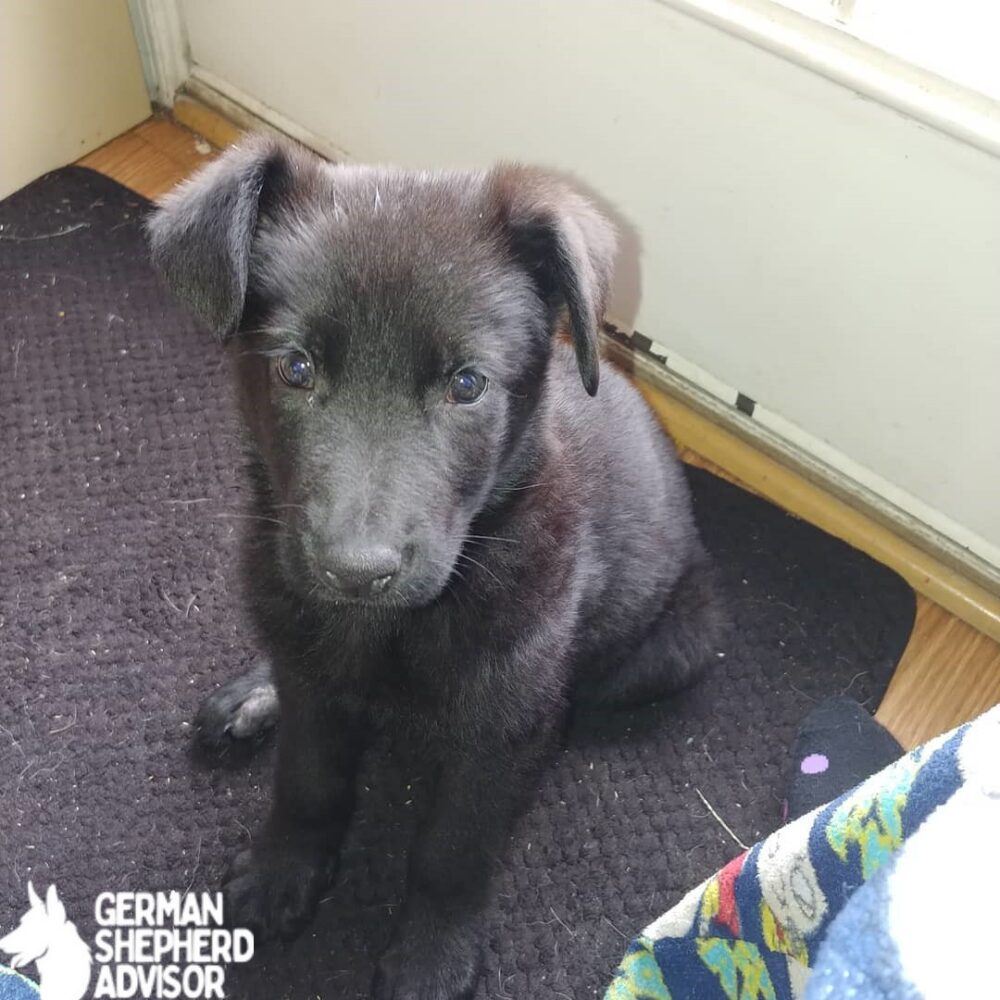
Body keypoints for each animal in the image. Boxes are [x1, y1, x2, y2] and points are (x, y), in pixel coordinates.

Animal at [148, 135, 724, 1000]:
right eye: (295, 369)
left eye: (467, 384)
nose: (356, 571)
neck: (381, 632)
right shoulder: (313, 675)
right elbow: (308, 780)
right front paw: (286, 867)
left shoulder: (500, 726)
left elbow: (452, 849)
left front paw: (432, 953)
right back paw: (253, 696)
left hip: (669, 651)